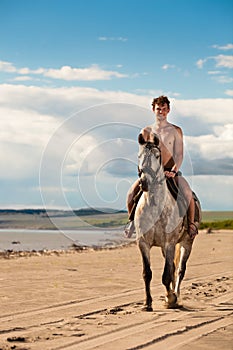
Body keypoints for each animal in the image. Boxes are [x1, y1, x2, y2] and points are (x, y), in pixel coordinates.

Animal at [136, 133, 201, 310]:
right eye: (139, 156)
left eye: (157, 156)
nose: (144, 182)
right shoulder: (143, 243)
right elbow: (147, 273)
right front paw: (148, 303)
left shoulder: (169, 243)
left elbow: (166, 275)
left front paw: (171, 299)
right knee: (172, 268)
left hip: (187, 242)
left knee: (179, 270)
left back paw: (176, 295)